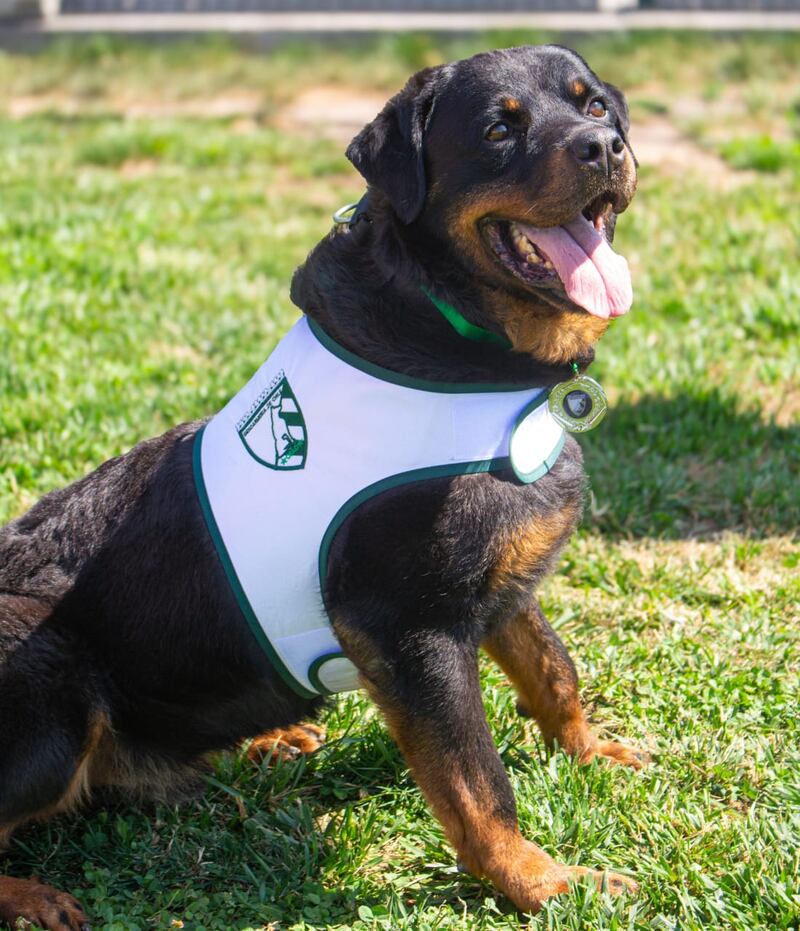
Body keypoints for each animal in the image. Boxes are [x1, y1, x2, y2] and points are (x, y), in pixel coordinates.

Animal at [0, 45, 648, 931]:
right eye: (498, 129)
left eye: (595, 108)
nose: (602, 148)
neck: (462, 337)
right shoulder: (409, 626)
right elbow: (478, 784)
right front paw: (544, 884)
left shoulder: (498, 584)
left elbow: (554, 670)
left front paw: (591, 751)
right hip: (50, 671)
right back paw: (32, 895)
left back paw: (265, 743)